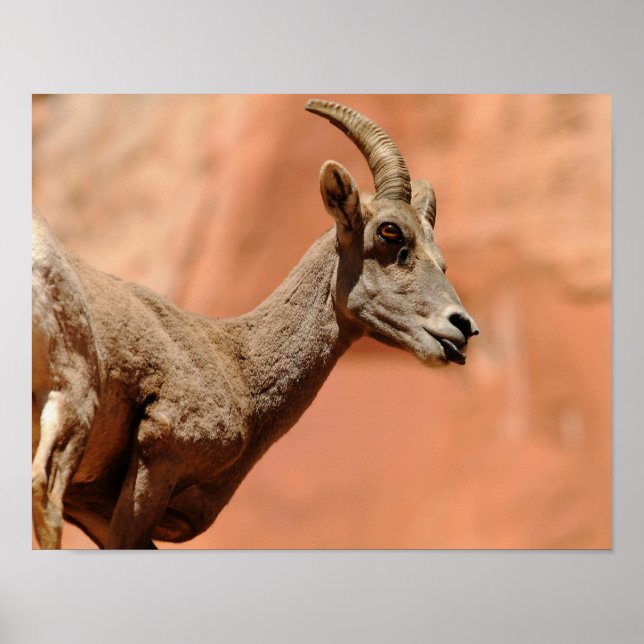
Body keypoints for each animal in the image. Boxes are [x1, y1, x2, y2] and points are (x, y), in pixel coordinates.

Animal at [32, 99, 479, 549]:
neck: (238, 365)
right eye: (389, 232)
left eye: (440, 257)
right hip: (70, 408)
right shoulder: (158, 455)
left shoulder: (94, 508)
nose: (463, 327)